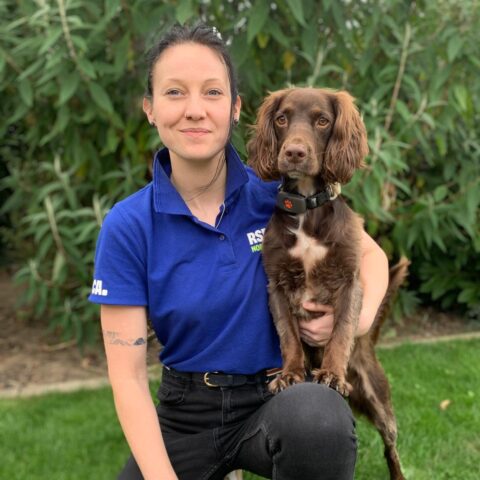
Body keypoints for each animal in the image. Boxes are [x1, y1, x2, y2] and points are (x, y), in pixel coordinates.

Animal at [247, 87, 407, 480]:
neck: (306, 209)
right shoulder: (276, 284)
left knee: (391, 448)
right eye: (282, 119)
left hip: (377, 398)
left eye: (322, 120)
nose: (294, 152)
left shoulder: (350, 280)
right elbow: (289, 335)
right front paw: (290, 373)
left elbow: (341, 331)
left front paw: (332, 374)